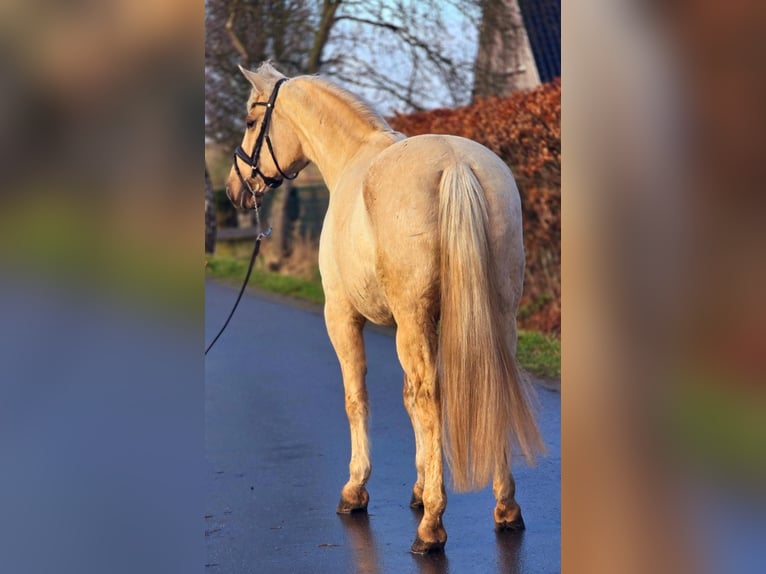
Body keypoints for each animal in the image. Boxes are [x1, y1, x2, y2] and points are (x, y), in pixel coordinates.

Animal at [225, 62, 544, 554]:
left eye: (249, 121)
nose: (234, 188)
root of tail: (456, 163)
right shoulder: (405, 324)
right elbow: (408, 398)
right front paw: (419, 486)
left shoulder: (343, 316)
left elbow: (358, 397)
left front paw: (357, 489)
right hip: (498, 314)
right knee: (490, 385)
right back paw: (505, 508)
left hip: (413, 319)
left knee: (432, 397)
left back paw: (431, 528)